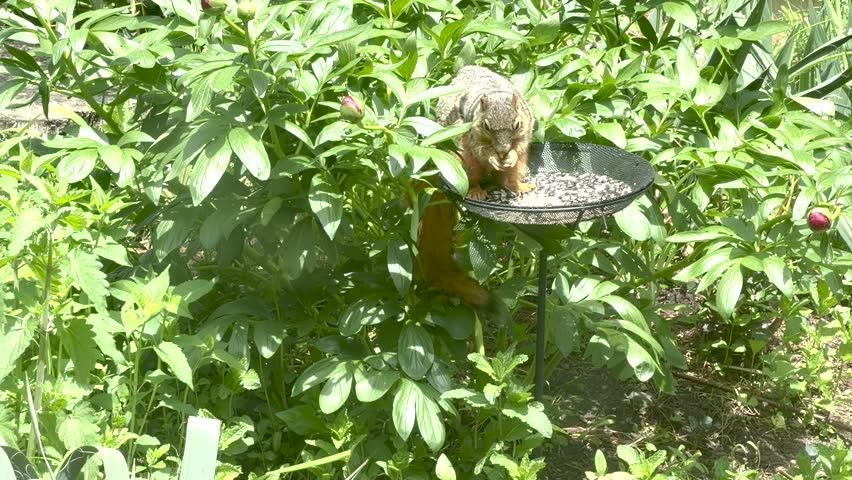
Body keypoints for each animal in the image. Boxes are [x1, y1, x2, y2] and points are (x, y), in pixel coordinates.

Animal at [415, 66, 535, 323]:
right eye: (487, 126)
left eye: (516, 124)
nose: (502, 151)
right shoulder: (470, 133)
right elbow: (481, 149)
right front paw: (491, 156)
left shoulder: (526, 127)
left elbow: (520, 145)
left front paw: (509, 155)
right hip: (461, 157)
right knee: (473, 172)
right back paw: (476, 189)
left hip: (516, 166)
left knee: (508, 175)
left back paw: (517, 185)